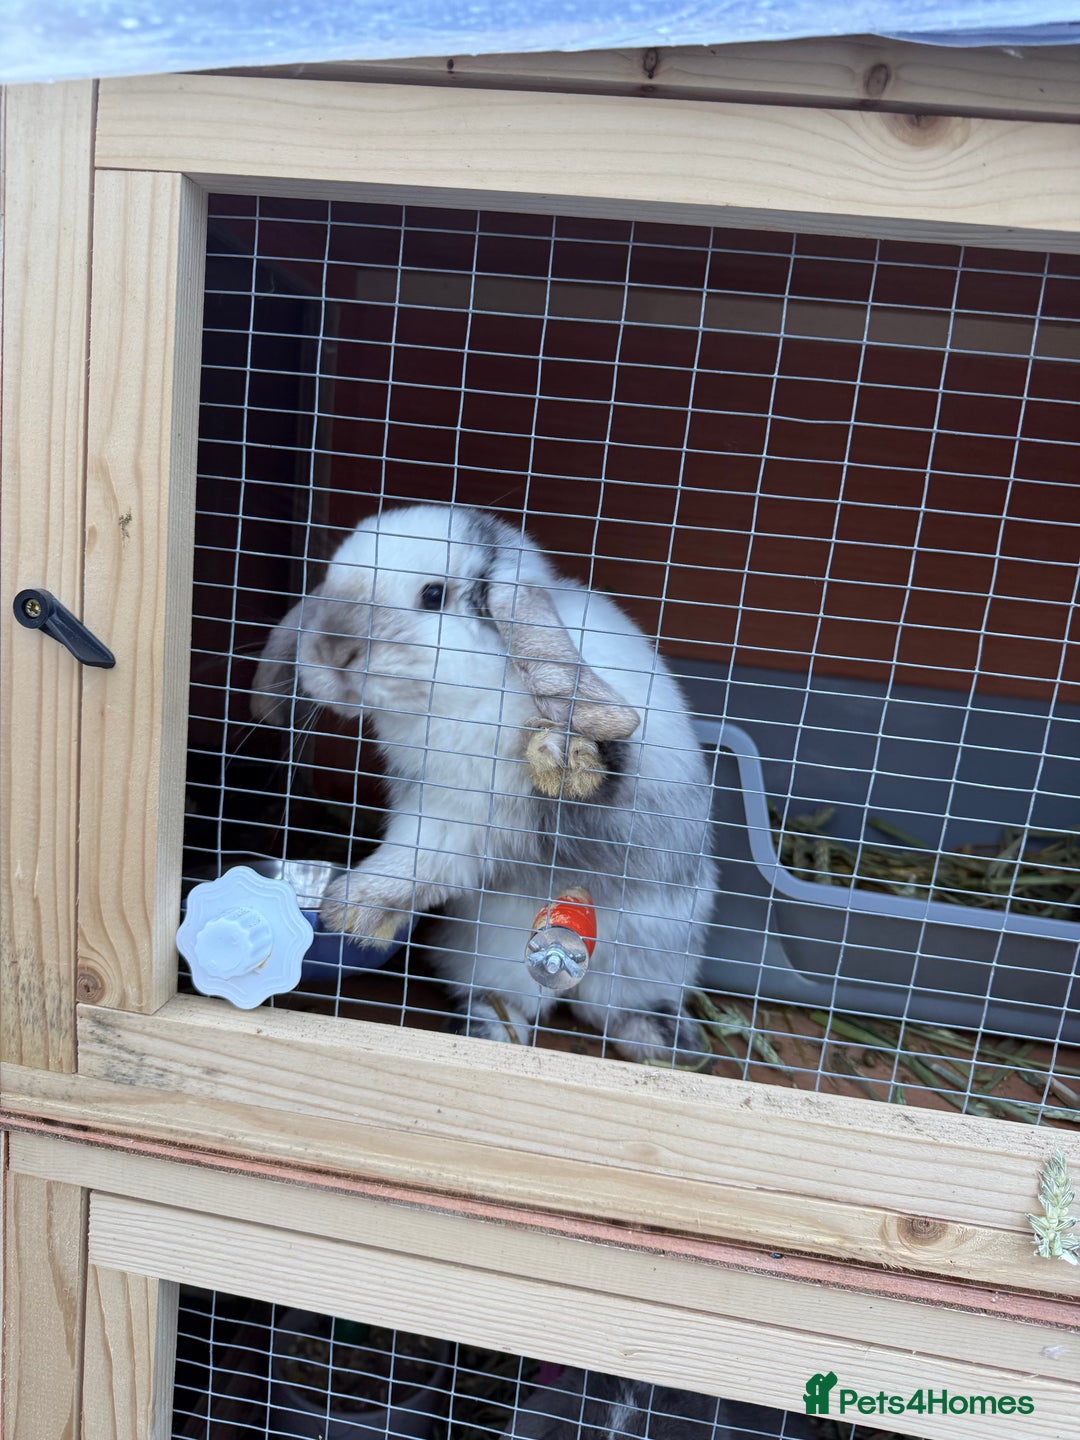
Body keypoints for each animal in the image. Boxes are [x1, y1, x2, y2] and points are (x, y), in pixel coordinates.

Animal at [251, 503, 717, 1060]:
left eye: (433, 595)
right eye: (331, 578)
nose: (332, 651)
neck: (463, 697)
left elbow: (601, 775)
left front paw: (558, 750)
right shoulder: (445, 816)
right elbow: (411, 864)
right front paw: (352, 913)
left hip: (652, 956)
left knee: (615, 1008)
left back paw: (666, 1043)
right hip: (494, 953)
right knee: (514, 999)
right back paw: (490, 1031)